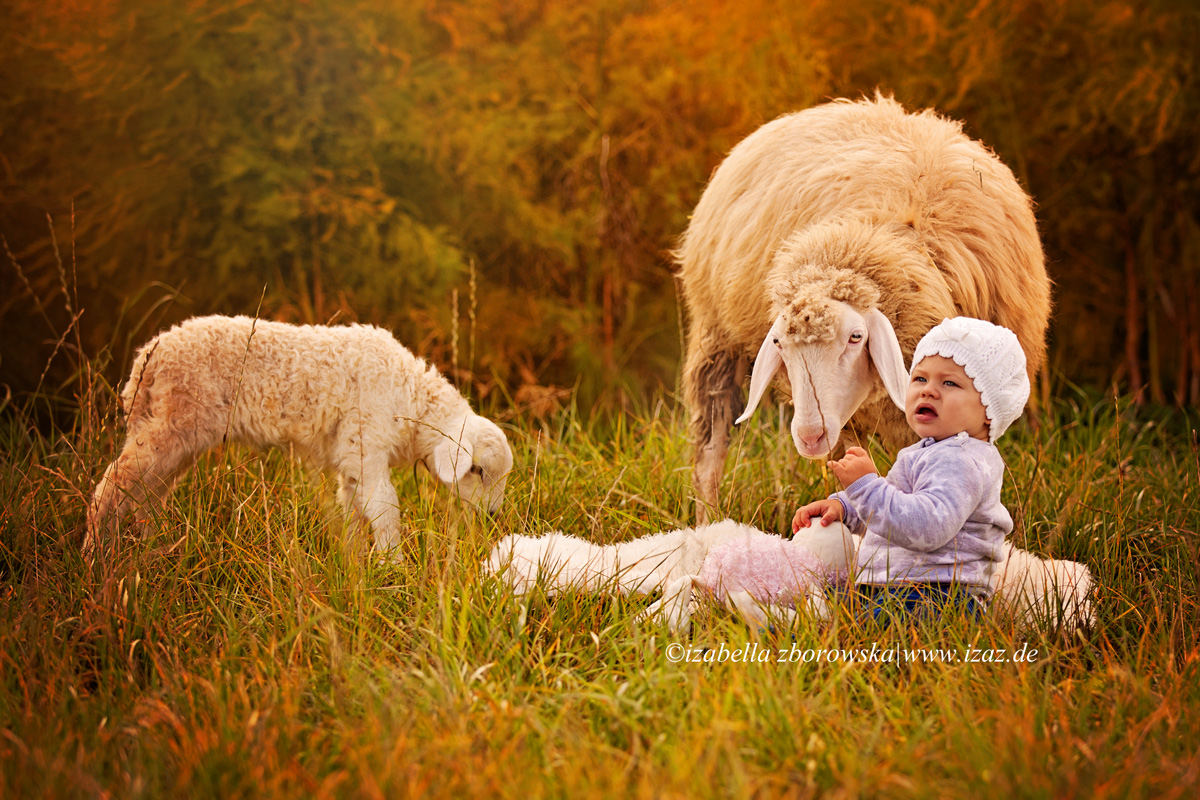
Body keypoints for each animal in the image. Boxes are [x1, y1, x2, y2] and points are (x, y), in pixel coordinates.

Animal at [85, 311, 511, 556]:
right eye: (477, 471)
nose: (492, 516)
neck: (410, 399)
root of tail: (148, 358)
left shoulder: (352, 458)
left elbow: (354, 510)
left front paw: (355, 566)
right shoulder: (367, 446)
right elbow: (386, 510)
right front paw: (394, 567)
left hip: (177, 435)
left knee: (146, 496)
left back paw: (153, 551)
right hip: (171, 425)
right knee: (114, 485)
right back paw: (96, 554)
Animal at [676, 95, 1051, 520]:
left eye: (857, 337)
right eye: (778, 346)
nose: (810, 435)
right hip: (716, 337)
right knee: (711, 441)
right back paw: (708, 517)